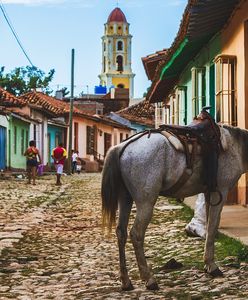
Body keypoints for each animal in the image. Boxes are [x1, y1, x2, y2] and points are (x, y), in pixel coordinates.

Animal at [101, 125, 248, 290]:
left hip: (125, 198)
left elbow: (209, 223)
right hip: (146, 203)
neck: (235, 146)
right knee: (136, 234)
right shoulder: (220, 191)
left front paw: (208, 264)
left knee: (121, 232)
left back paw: (126, 282)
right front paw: (212, 267)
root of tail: (122, 147)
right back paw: (149, 279)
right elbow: (212, 226)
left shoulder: (208, 192)